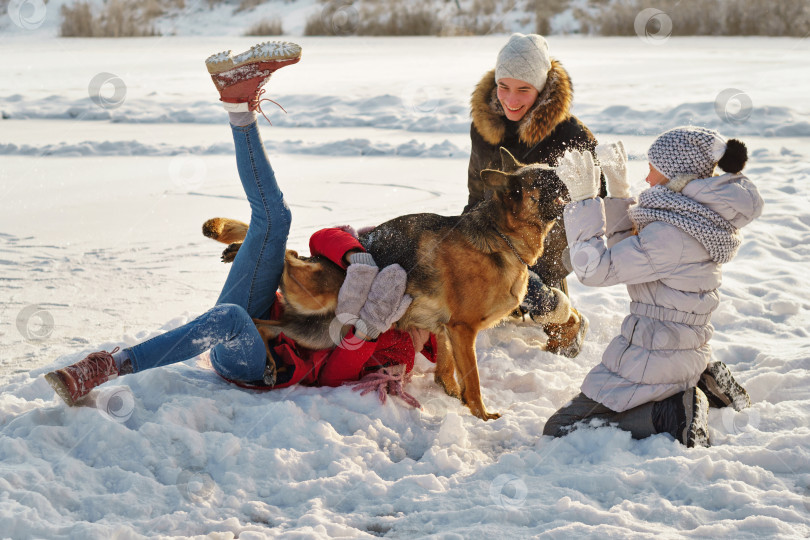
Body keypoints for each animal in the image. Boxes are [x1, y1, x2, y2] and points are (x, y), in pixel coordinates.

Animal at [205, 149, 564, 422]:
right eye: (544, 181)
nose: (566, 174)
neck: (500, 237)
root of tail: (316, 259)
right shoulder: (462, 329)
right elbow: (473, 380)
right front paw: (481, 415)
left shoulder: (447, 330)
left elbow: (447, 367)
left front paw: (451, 393)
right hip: (317, 296)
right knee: (286, 256)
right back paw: (234, 247)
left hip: (318, 332)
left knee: (263, 324)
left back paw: (268, 363)